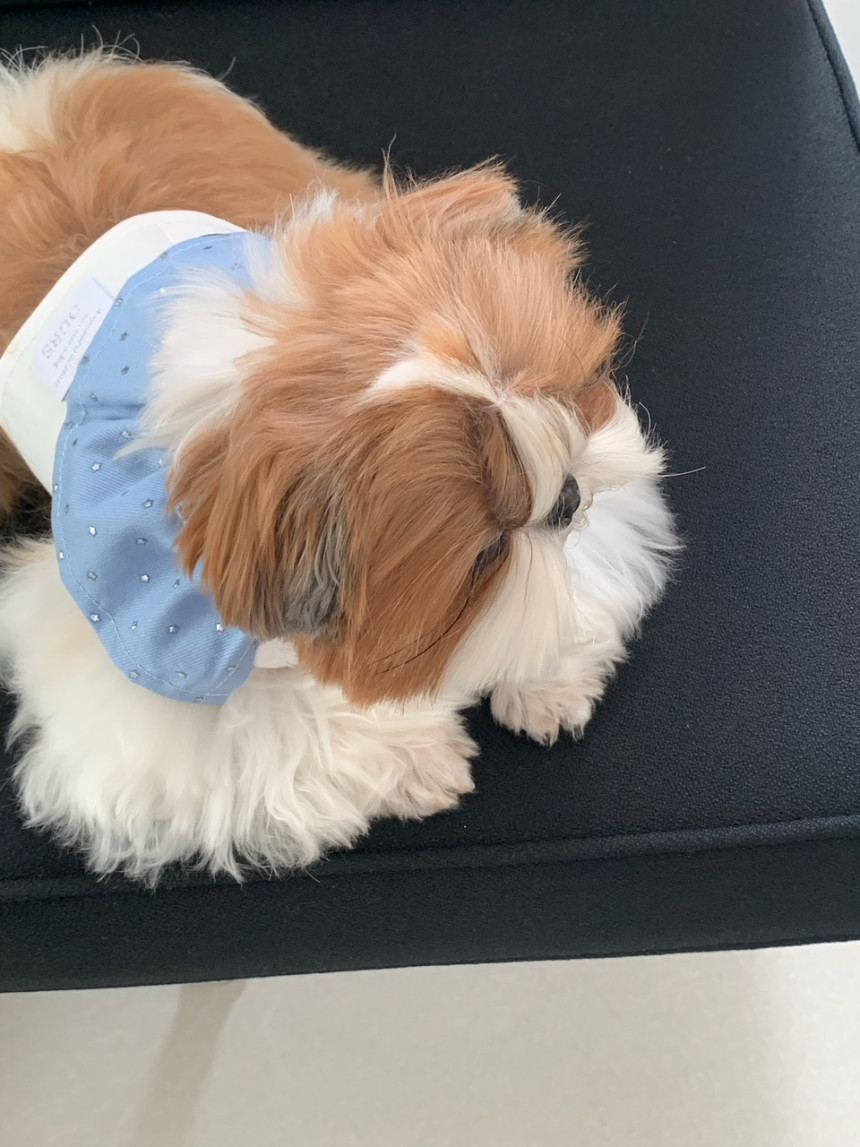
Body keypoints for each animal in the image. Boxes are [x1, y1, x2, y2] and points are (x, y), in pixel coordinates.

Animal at [0, 51, 677, 879]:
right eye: (484, 549)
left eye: (567, 398)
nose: (568, 495)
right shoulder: (141, 648)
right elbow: (279, 723)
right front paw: (419, 756)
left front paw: (544, 677)